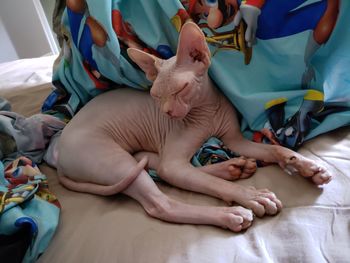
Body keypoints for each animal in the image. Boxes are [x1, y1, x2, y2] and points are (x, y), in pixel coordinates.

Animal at [57, 22, 330, 233]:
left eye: (181, 88)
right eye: (156, 96)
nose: (167, 112)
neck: (205, 113)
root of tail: (57, 155)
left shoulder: (234, 140)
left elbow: (275, 150)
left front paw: (306, 165)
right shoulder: (175, 154)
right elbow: (198, 181)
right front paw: (251, 196)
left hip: (135, 157)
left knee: (165, 169)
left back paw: (233, 167)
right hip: (115, 161)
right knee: (163, 198)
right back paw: (229, 212)